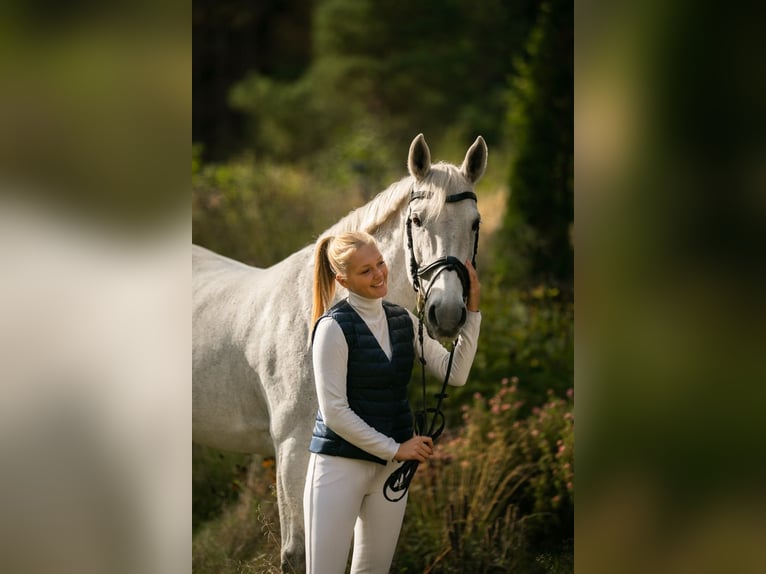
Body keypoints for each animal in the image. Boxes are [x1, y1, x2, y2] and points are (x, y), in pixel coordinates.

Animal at [192, 133, 487, 571]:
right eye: (418, 220)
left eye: (474, 223)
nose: (447, 313)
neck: (315, 313)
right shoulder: (292, 450)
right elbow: (298, 553)